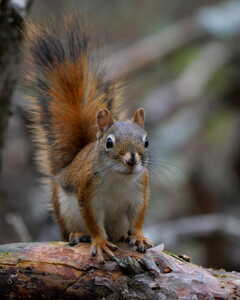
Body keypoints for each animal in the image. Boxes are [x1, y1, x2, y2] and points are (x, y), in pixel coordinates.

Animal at [23, 15, 152, 262]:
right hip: (64, 209)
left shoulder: (140, 192)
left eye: (146, 141)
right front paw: (99, 242)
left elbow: (139, 217)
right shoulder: (88, 193)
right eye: (109, 142)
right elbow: (93, 222)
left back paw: (122, 235)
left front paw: (139, 236)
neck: (119, 178)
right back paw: (77, 234)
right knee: (71, 230)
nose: (132, 159)